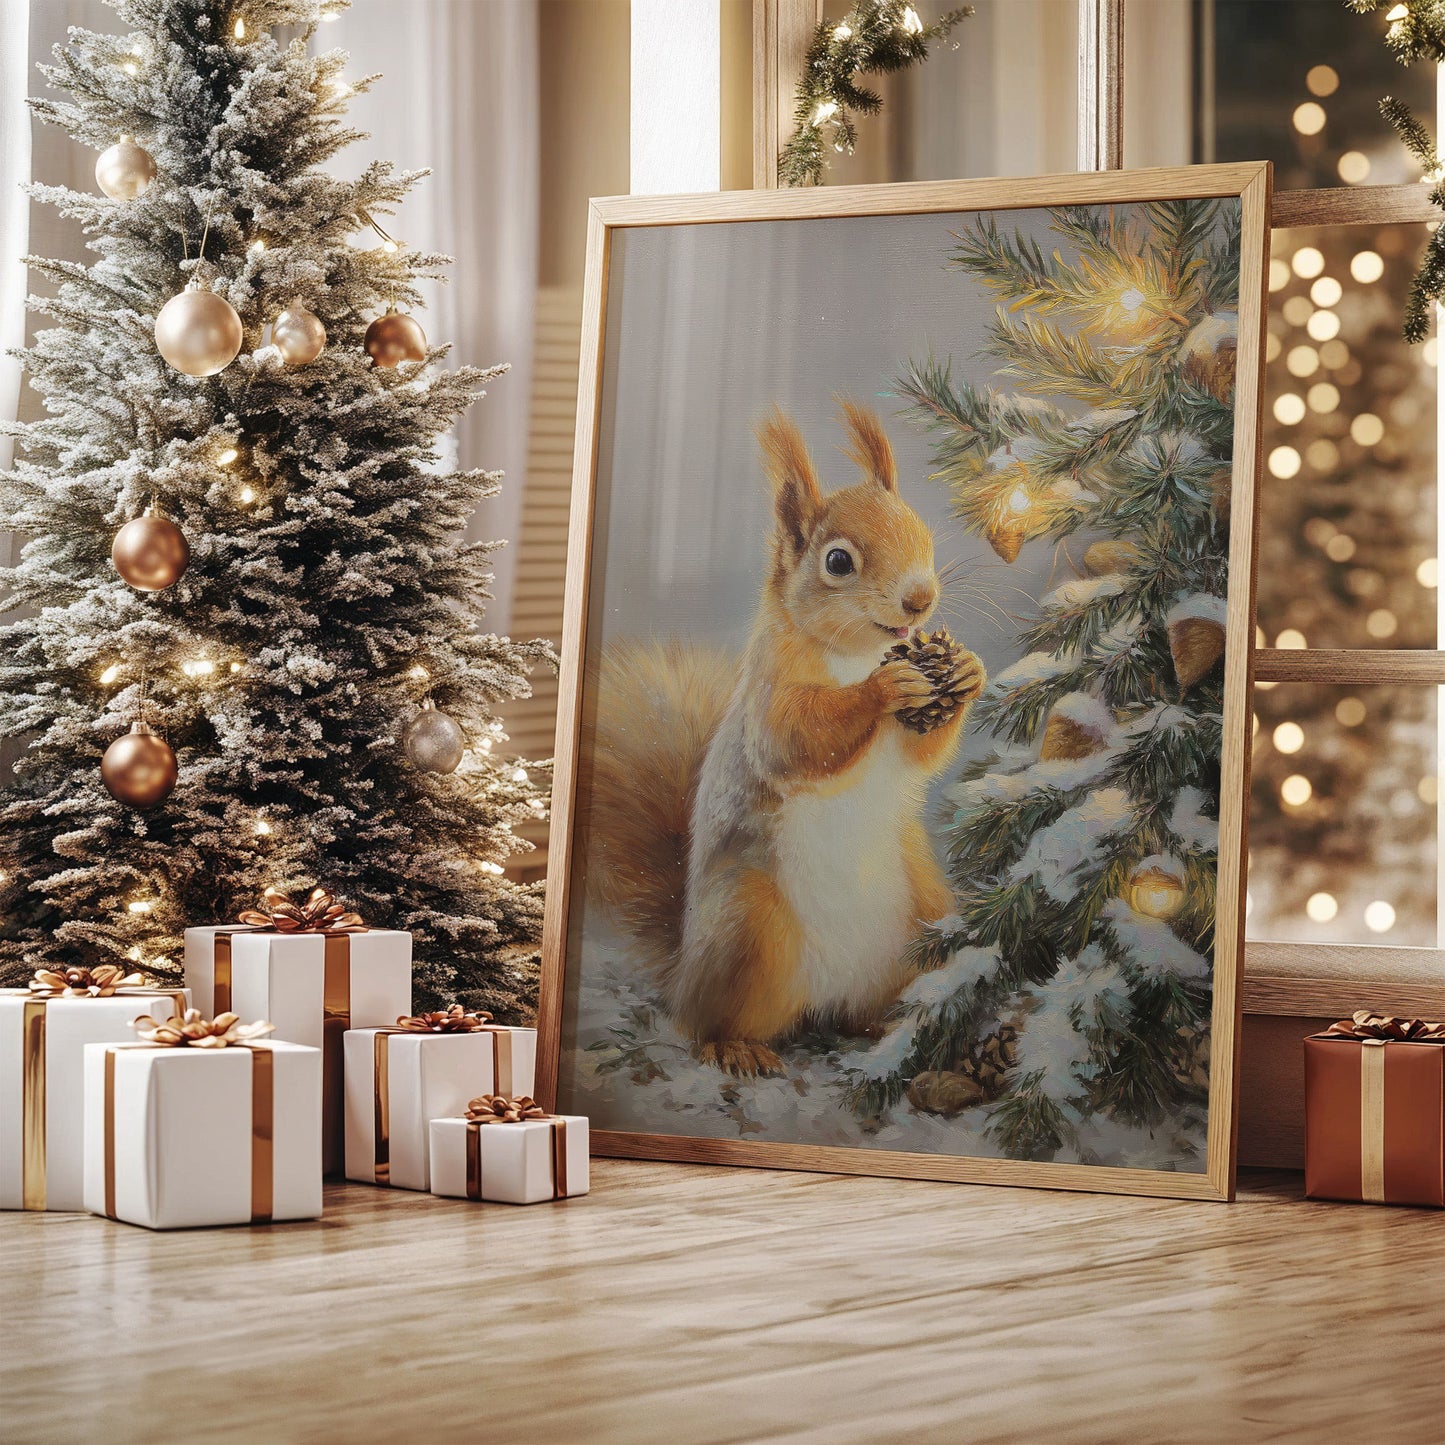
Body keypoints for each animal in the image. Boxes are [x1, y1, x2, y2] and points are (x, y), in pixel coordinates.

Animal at [582, 401, 985, 1077]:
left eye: (924, 534)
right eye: (838, 562)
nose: (921, 598)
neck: (857, 653)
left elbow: (921, 753)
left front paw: (967, 671)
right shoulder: (769, 696)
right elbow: (797, 738)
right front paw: (884, 688)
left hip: (929, 915)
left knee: (879, 1006)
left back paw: (913, 1034)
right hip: (751, 926)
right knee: (705, 1022)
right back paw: (735, 1046)